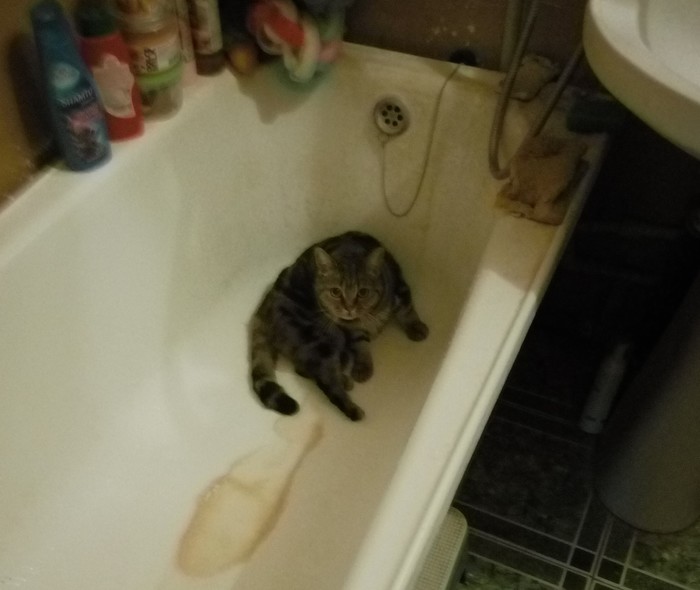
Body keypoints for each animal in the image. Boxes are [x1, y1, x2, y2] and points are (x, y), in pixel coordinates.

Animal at [249, 231, 428, 421]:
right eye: (335, 292)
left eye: (363, 292)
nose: (348, 308)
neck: (369, 315)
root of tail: (261, 309)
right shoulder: (352, 331)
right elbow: (361, 347)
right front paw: (363, 367)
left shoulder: (399, 289)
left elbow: (407, 312)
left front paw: (416, 327)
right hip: (321, 341)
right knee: (325, 379)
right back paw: (352, 408)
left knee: (304, 369)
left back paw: (344, 380)